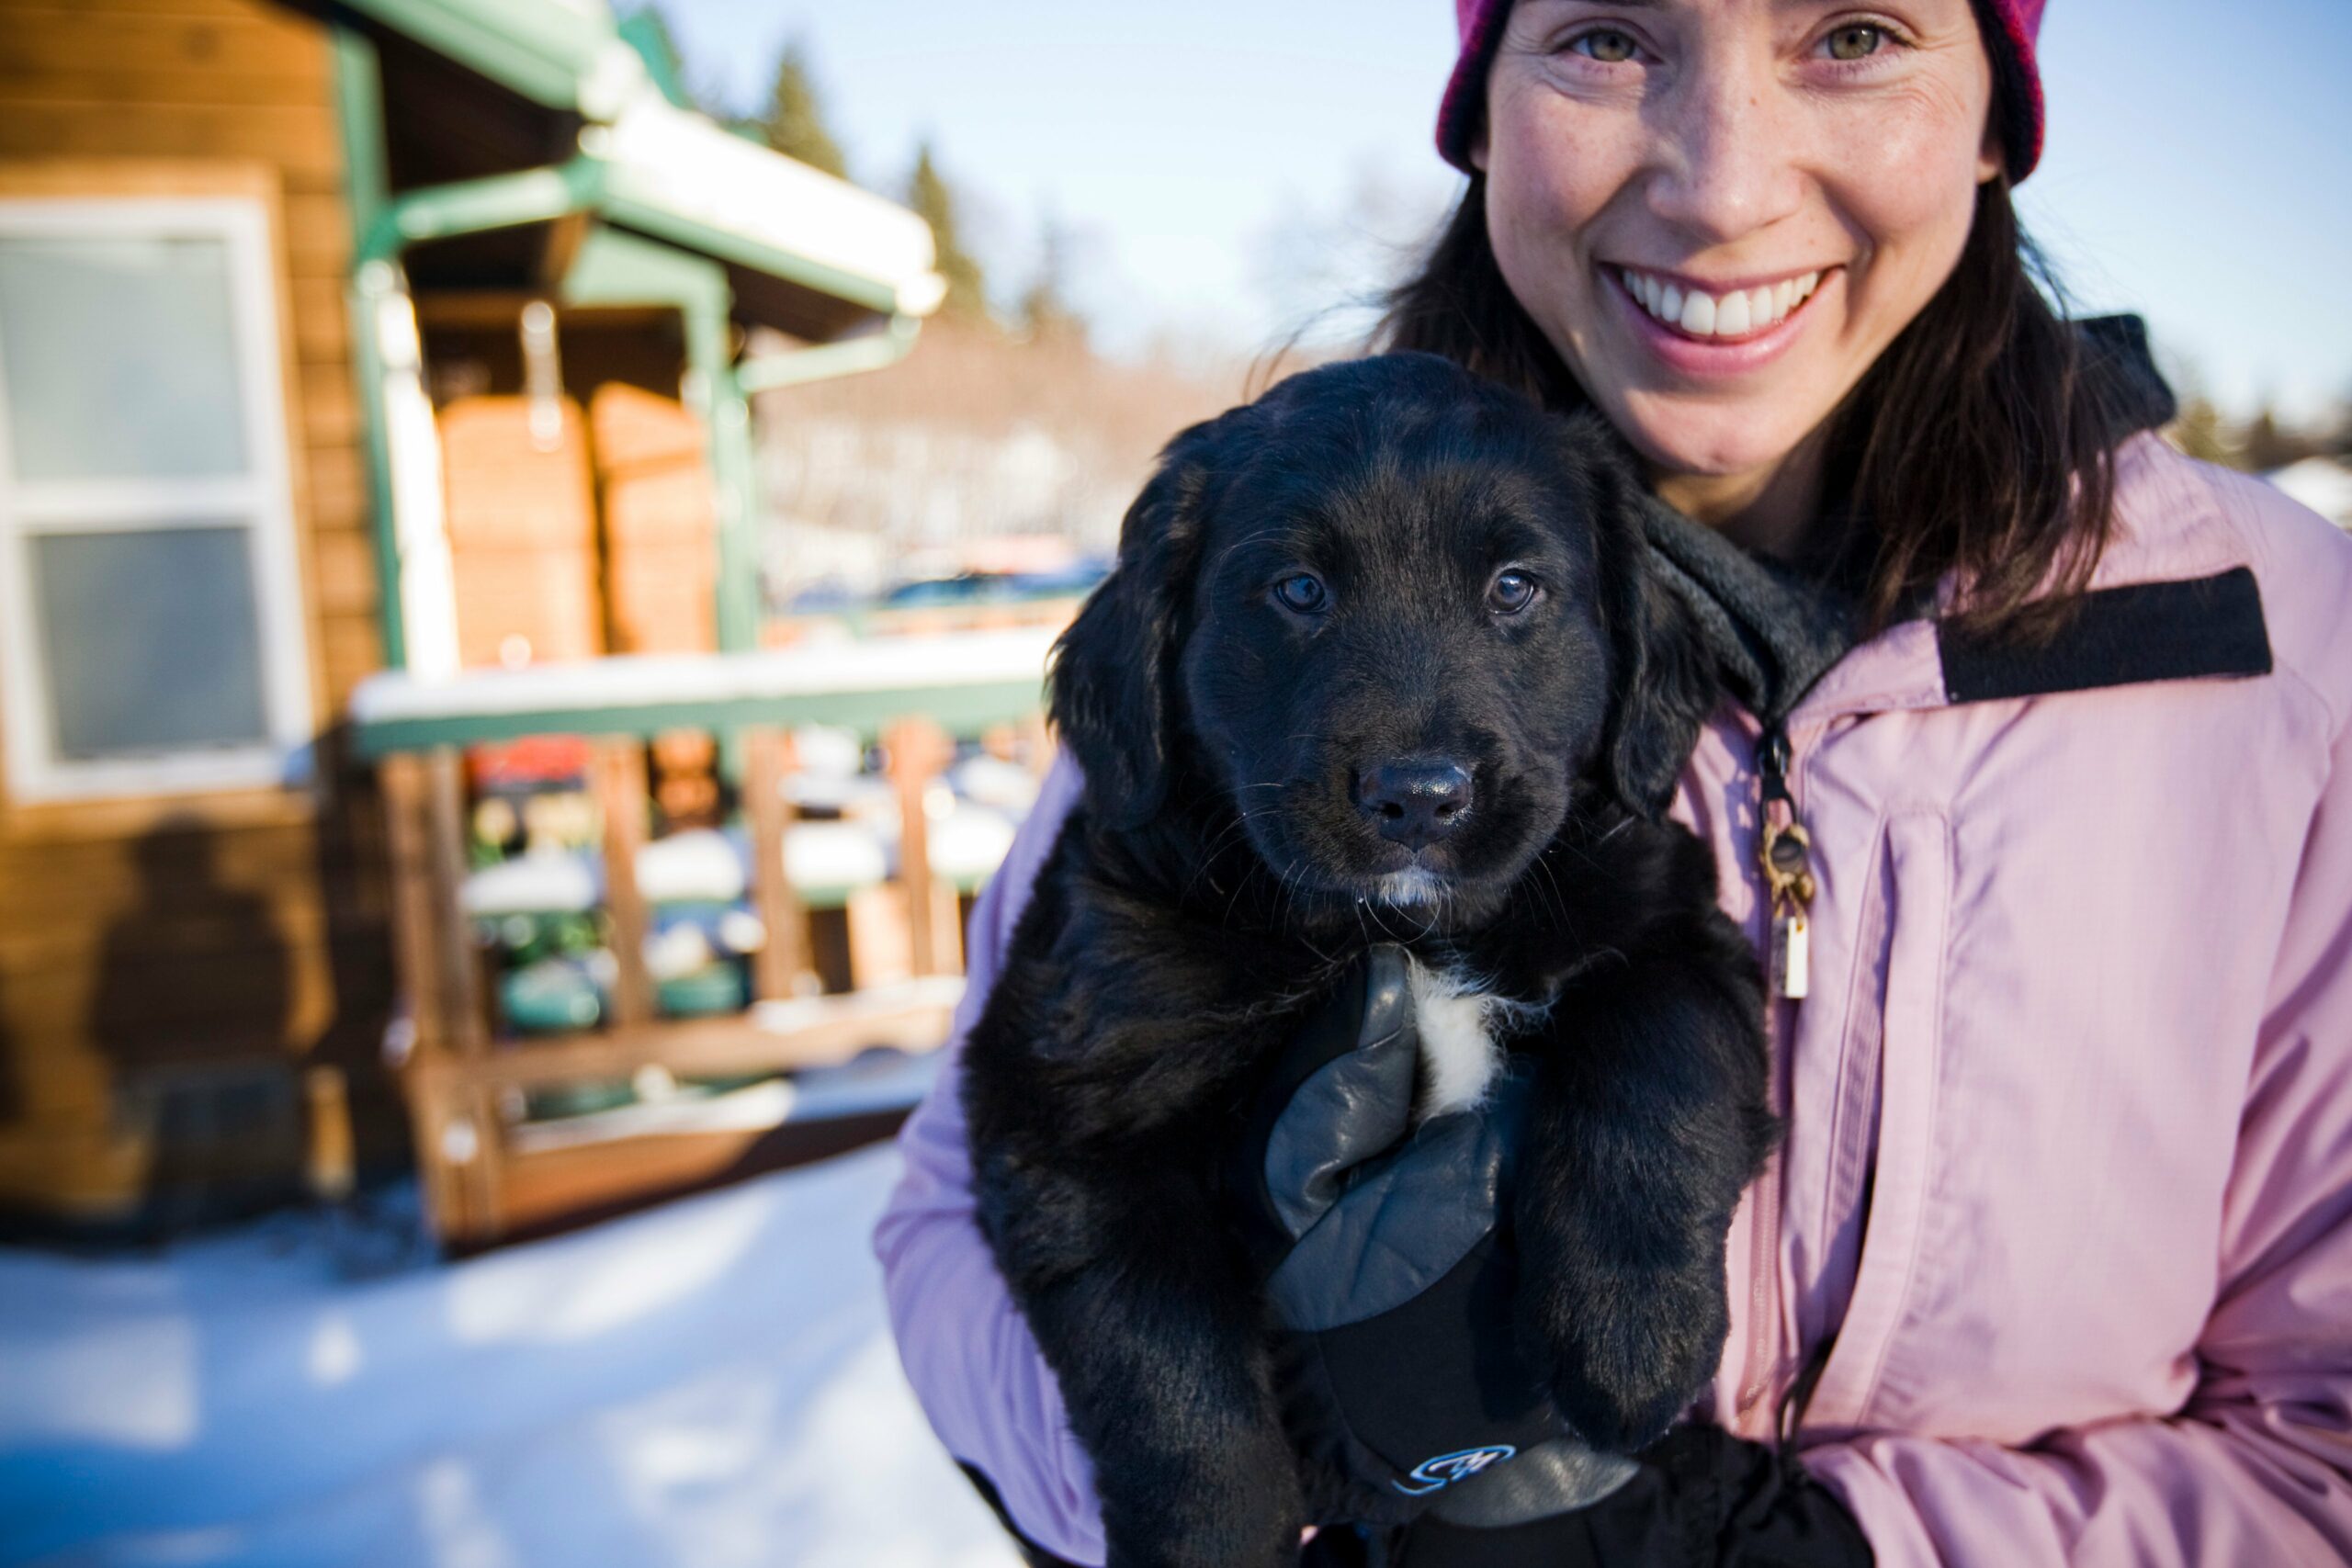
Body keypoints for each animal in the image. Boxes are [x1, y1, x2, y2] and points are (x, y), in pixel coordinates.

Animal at [964, 355, 1769, 1568]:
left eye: (1515, 588)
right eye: (1299, 591)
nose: (1419, 797)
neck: (1402, 934)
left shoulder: (1670, 917)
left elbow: (1657, 1051)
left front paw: (1637, 1338)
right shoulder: (1066, 1099)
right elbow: (1160, 1357)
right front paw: (1216, 1536)